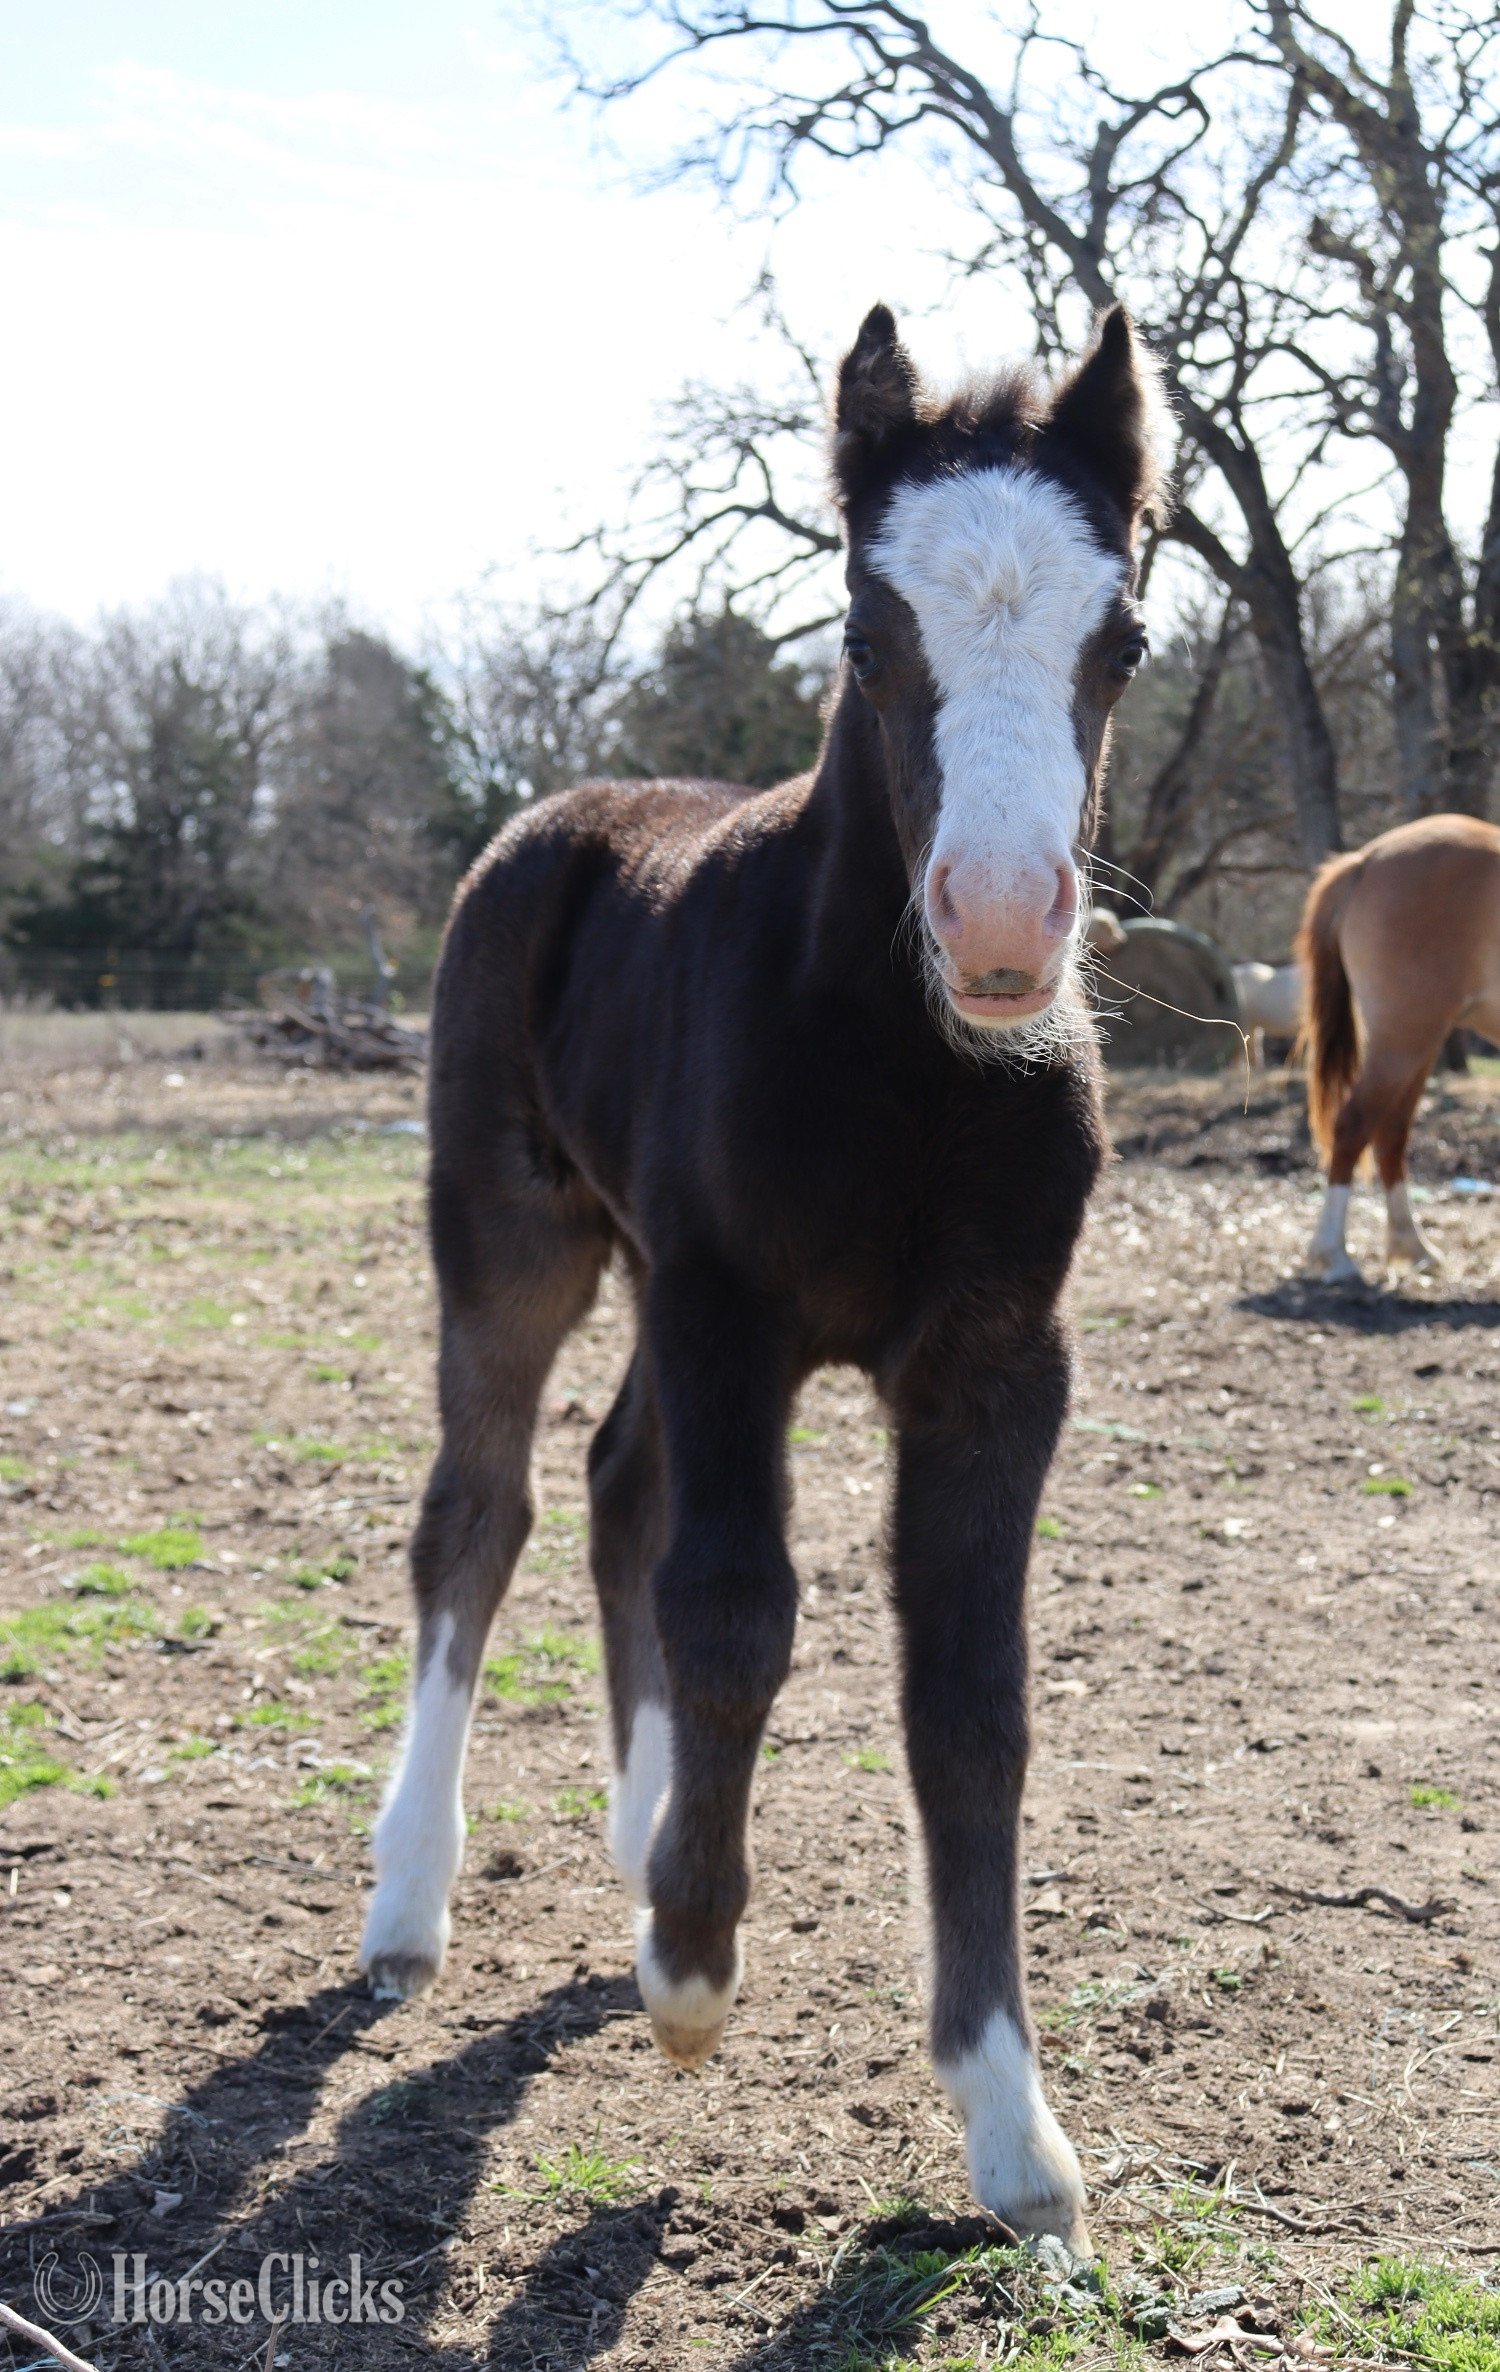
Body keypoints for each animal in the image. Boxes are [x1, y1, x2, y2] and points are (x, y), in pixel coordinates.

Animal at [358, 303, 1168, 2248]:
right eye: (870, 635)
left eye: (1124, 638)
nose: (1006, 928)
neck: (910, 1065)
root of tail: (568, 811)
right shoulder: (733, 1305)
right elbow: (735, 1612)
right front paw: (692, 1974)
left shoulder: (997, 1365)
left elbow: (972, 1698)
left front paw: (1015, 2131)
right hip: (517, 1236)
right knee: (482, 1509)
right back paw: (413, 1899)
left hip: (656, 1279)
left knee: (612, 1484)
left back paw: (642, 1840)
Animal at [1299, 813, 1500, 1281]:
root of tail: (1365, 861)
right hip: (1404, 1038)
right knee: (1354, 1124)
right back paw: (1334, 1253)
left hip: (1418, 1045)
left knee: (1389, 1131)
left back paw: (1411, 1245)